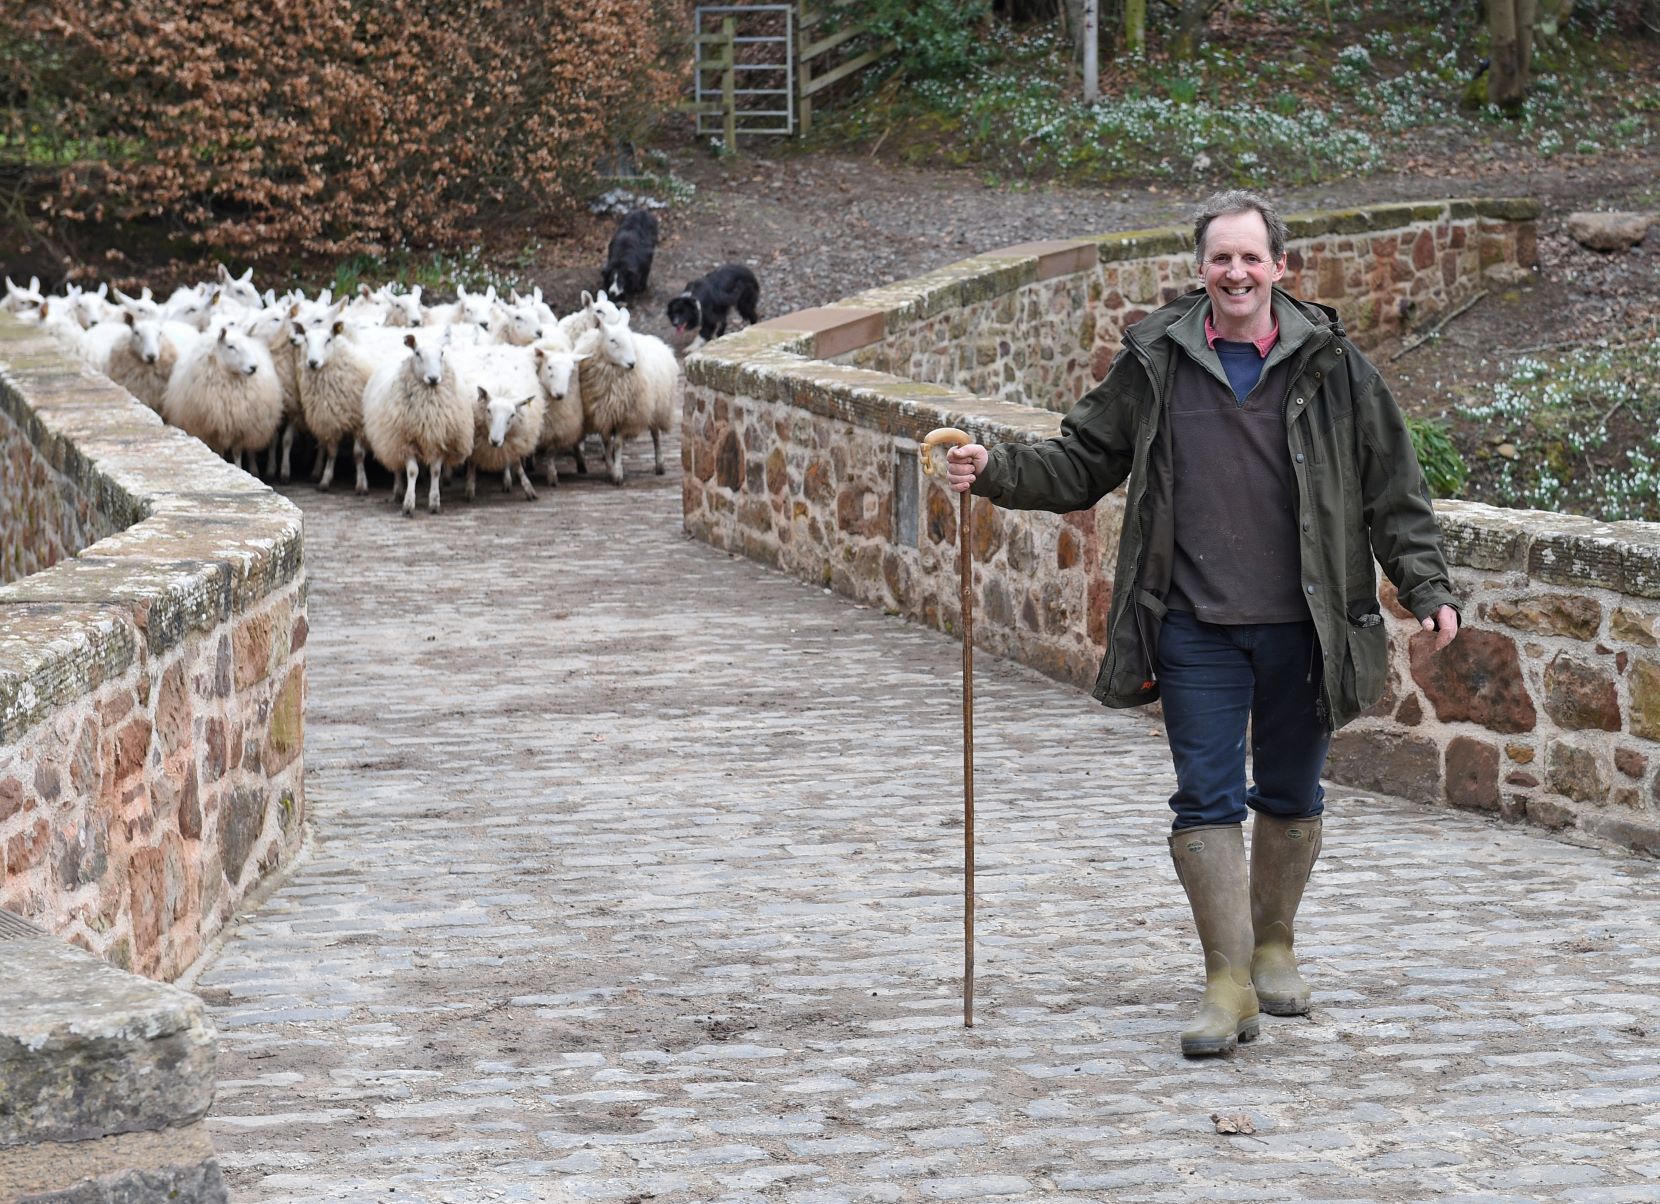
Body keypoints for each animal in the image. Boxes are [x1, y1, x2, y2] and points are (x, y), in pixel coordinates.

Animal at [161, 318, 282, 468]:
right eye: (230, 346)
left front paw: (239, 467)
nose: (253, 367)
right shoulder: (215, 429)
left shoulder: (240, 428)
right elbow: (220, 452)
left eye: (248, 345)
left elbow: (237, 452)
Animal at [360, 330, 471, 514]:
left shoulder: (439, 439)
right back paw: (398, 492)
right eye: (417, 353)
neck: (428, 408)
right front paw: (408, 504)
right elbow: (412, 471)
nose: (433, 378)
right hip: (392, 440)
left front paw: (434, 502)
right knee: (397, 468)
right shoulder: (405, 441)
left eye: (442, 353)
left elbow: (435, 471)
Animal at [571, 312, 673, 484]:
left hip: (654, 408)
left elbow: (618, 444)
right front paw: (610, 469)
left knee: (656, 436)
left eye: (629, 339)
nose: (632, 363)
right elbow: (606, 443)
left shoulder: (625, 416)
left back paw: (660, 465)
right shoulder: (603, 413)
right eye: (612, 340)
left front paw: (617, 473)